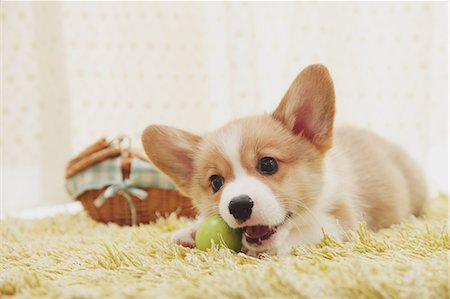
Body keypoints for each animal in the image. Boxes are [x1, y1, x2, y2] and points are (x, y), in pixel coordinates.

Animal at [142, 64, 428, 256]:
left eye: (268, 164)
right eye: (215, 182)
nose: (239, 206)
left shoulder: (339, 221)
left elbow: (305, 236)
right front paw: (189, 232)